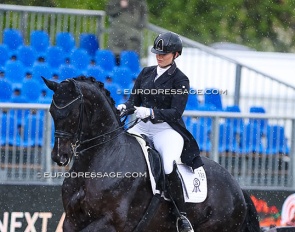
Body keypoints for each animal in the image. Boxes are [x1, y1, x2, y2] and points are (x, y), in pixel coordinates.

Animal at [42, 76, 260, 232]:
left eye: (72, 113)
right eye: (52, 112)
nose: (59, 156)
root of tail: (238, 189)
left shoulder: (110, 222)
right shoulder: (71, 220)